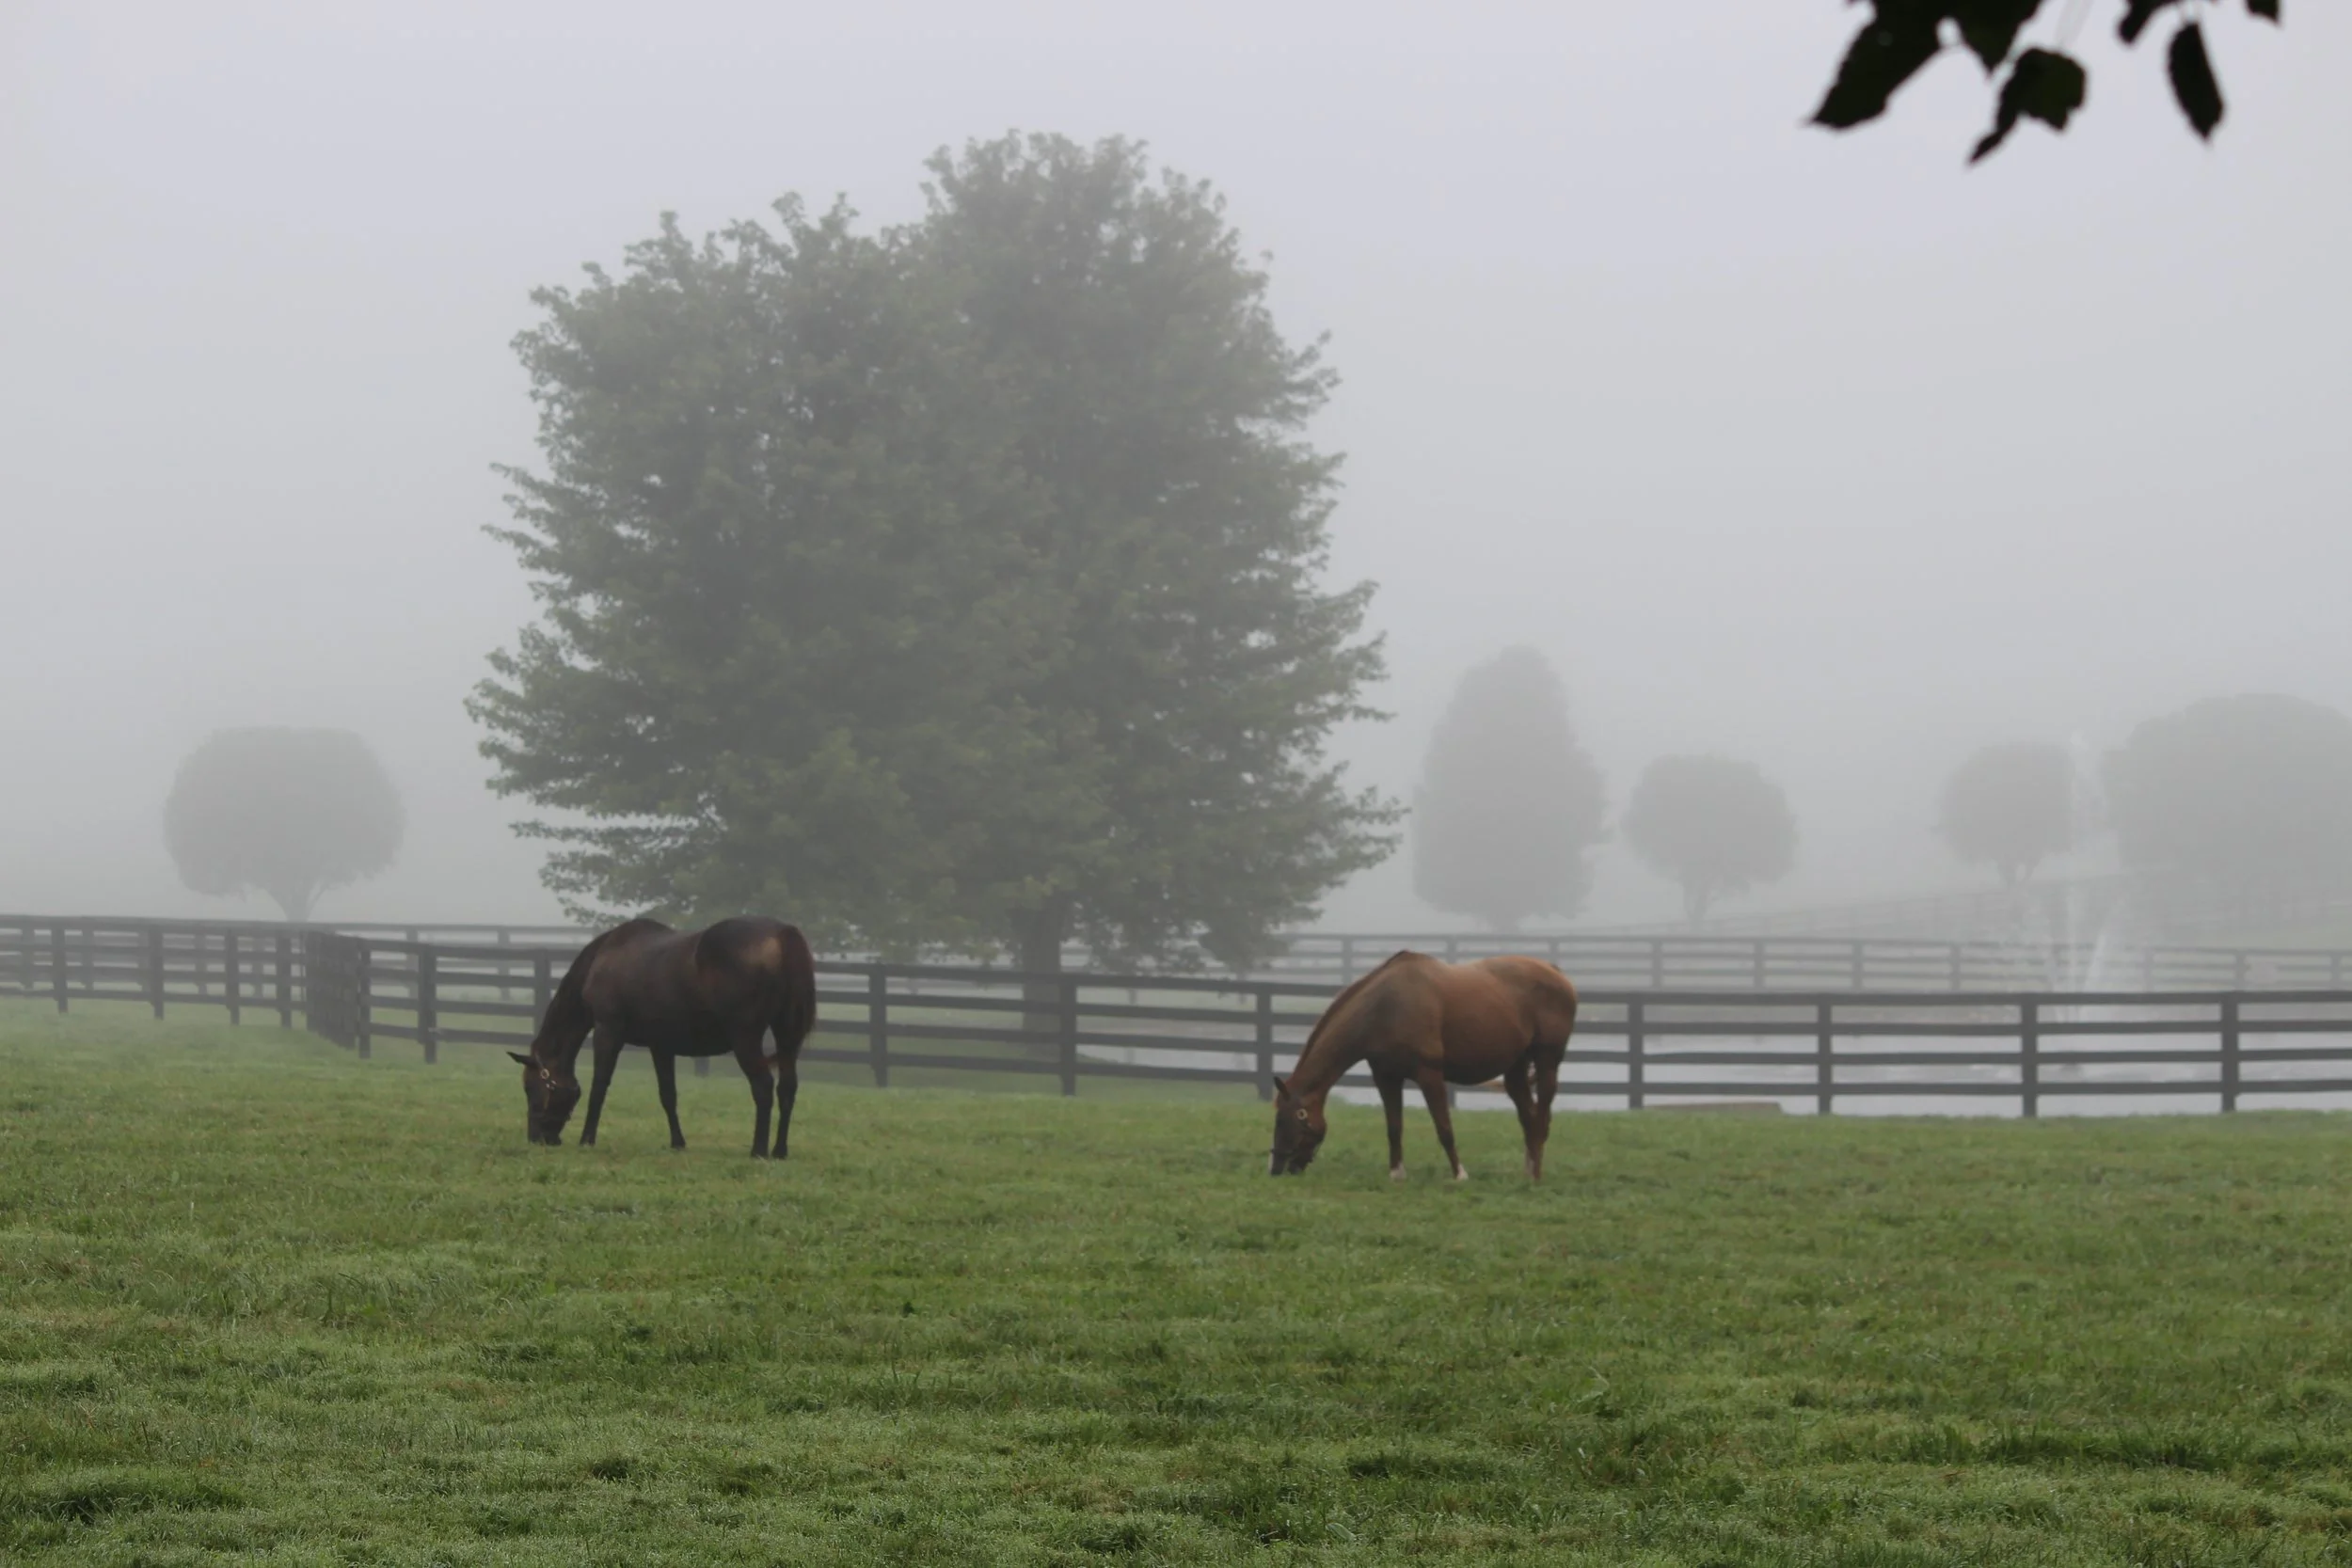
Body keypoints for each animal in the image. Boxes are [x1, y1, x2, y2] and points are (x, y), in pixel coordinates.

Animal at [508, 916, 818, 1158]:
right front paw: (677, 1142)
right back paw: (779, 1150)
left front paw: (587, 1139)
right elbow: (668, 1094)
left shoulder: (608, 1030)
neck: (605, 957)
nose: (537, 1137)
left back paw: (758, 1150)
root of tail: (783, 935)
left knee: (763, 1086)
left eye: (530, 1087)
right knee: (787, 1088)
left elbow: (599, 1087)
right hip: (787, 1036)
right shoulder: (661, 1045)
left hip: (745, 1037)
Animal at [1270, 951, 1577, 1183]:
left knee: (1541, 1118)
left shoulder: (1429, 1076)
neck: (1386, 1007)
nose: (1276, 1169)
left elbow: (1444, 1128)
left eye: (1287, 1119)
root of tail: (1556, 973)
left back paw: (1535, 1176)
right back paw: (1528, 1171)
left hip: (1547, 1062)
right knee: (1529, 1118)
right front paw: (1396, 1174)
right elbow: (1394, 1128)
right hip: (1515, 1068)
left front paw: (1460, 1175)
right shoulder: (1386, 1077)